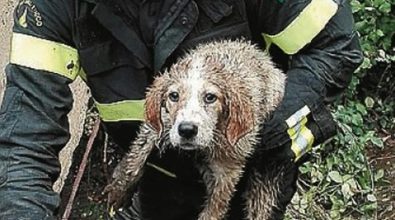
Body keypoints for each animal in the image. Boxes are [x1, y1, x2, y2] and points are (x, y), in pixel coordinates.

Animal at [103, 40, 286, 220]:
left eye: (210, 97)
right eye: (174, 95)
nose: (187, 130)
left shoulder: (227, 171)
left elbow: (214, 210)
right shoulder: (163, 123)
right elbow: (137, 154)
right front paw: (119, 189)